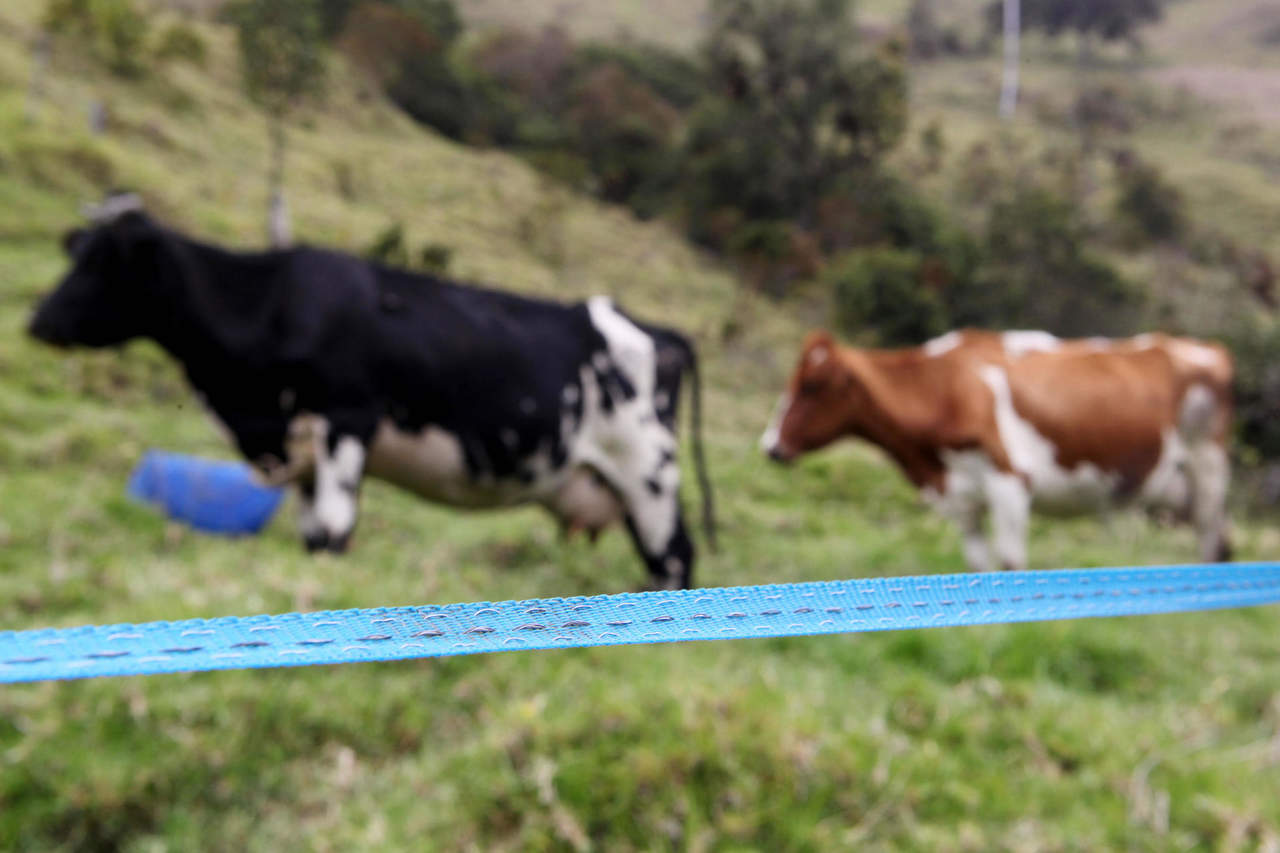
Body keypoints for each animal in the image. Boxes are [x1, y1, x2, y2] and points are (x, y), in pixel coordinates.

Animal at [30, 198, 716, 584]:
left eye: (103, 263)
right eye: (77, 254)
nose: (38, 320)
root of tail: (652, 328)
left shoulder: (346, 419)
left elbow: (336, 530)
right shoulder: (303, 449)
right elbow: (313, 537)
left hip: (648, 472)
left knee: (674, 558)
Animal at [757, 327, 1228, 568]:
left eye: (811, 386)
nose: (770, 447)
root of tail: (1201, 346)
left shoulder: (1010, 481)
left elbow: (1009, 563)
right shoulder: (961, 496)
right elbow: (979, 565)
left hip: (1208, 471)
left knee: (1214, 547)